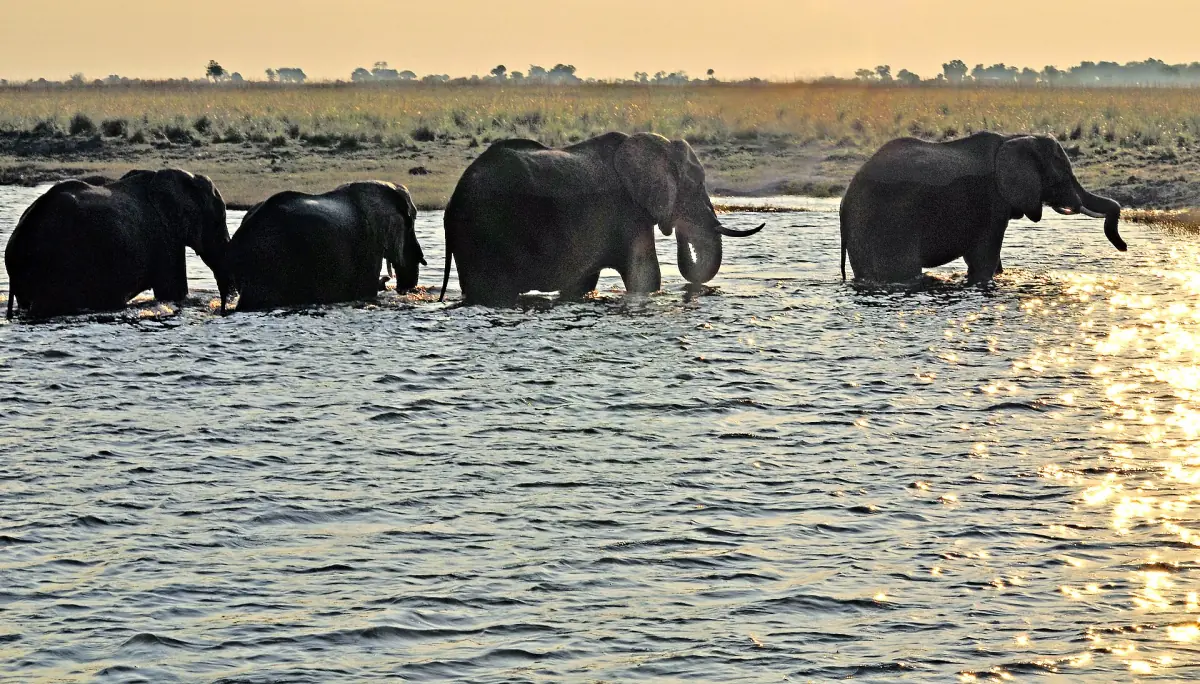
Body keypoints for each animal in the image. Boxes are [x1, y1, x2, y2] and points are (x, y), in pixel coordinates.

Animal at [440, 131, 764, 307]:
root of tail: (453, 200)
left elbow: (582, 283)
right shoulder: (629, 212)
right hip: (487, 228)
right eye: (696, 184)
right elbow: (646, 274)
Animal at [839, 132, 1125, 284]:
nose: (1123, 247)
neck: (1014, 137)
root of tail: (845, 200)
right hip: (885, 223)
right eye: (1062, 175)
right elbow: (983, 258)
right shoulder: (992, 203)